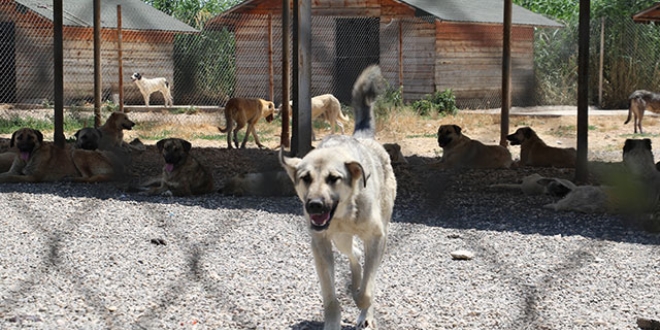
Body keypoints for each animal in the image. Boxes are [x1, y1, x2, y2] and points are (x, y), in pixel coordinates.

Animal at [280, 65, 398, 330]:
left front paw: (363, 304)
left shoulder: (377, 239)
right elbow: (330, 296)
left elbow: (368, 291)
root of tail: (363, 137)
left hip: (379, 232)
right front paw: (334, 319)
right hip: (341, 240)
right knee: (355, 255)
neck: (345, 214)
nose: (314, 206)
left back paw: (364, 310)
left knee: (365, 268)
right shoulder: (320, 245)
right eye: (305, 178)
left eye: (334, 178)